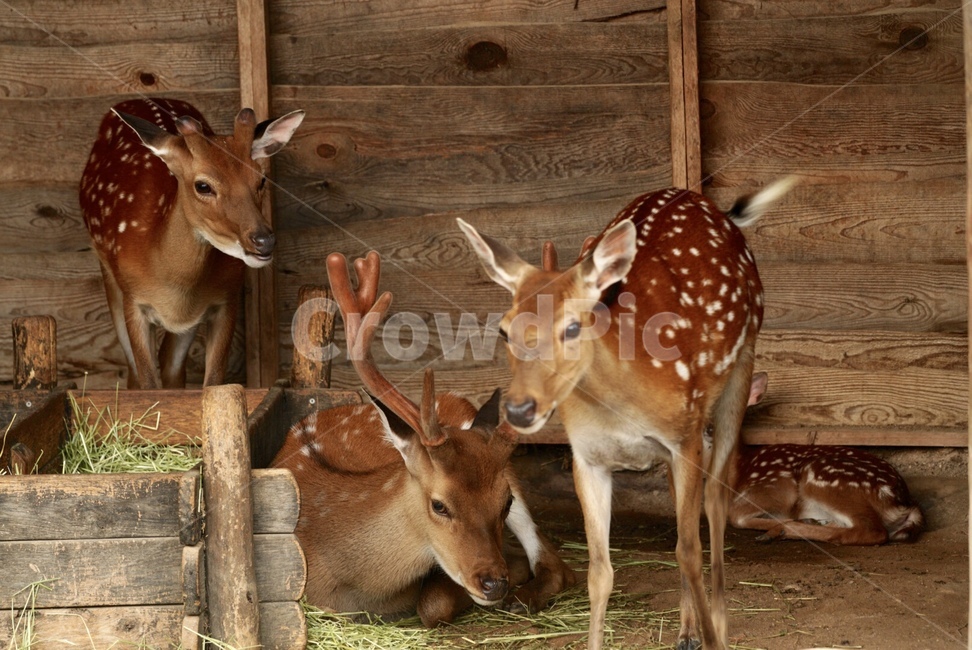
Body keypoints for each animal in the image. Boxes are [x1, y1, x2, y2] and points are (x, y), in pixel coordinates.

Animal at [79, 98, 304, 388]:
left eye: (261, 179)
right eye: (203, 186)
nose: (264, 240)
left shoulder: (224, 299)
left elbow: (213, 382)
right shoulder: (134, 299)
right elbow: (147, 382)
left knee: (171, 368)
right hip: (108, 275)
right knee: (135, 371)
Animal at [271, 251, 575, 626]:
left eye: (505, 502)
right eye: (439, 505)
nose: (493, 582)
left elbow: (432, 605)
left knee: (557, 565)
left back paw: (524, 597)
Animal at [458, 177, 796, 650]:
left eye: (573, 326)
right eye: (504, 329)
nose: (520, 409)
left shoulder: (684, 437)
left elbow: (688, 551)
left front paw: (715, 637)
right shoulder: (589, 457)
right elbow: (600, 572)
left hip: (740, 369)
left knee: (715, 502)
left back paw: (719, 626)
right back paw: (687, 630)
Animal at [723, 372, 925, 545]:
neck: (738, 472)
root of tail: (906, 503)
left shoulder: (775, 486)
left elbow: (735, 515)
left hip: (826, 478)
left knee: (871, 531)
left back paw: (780, 531)